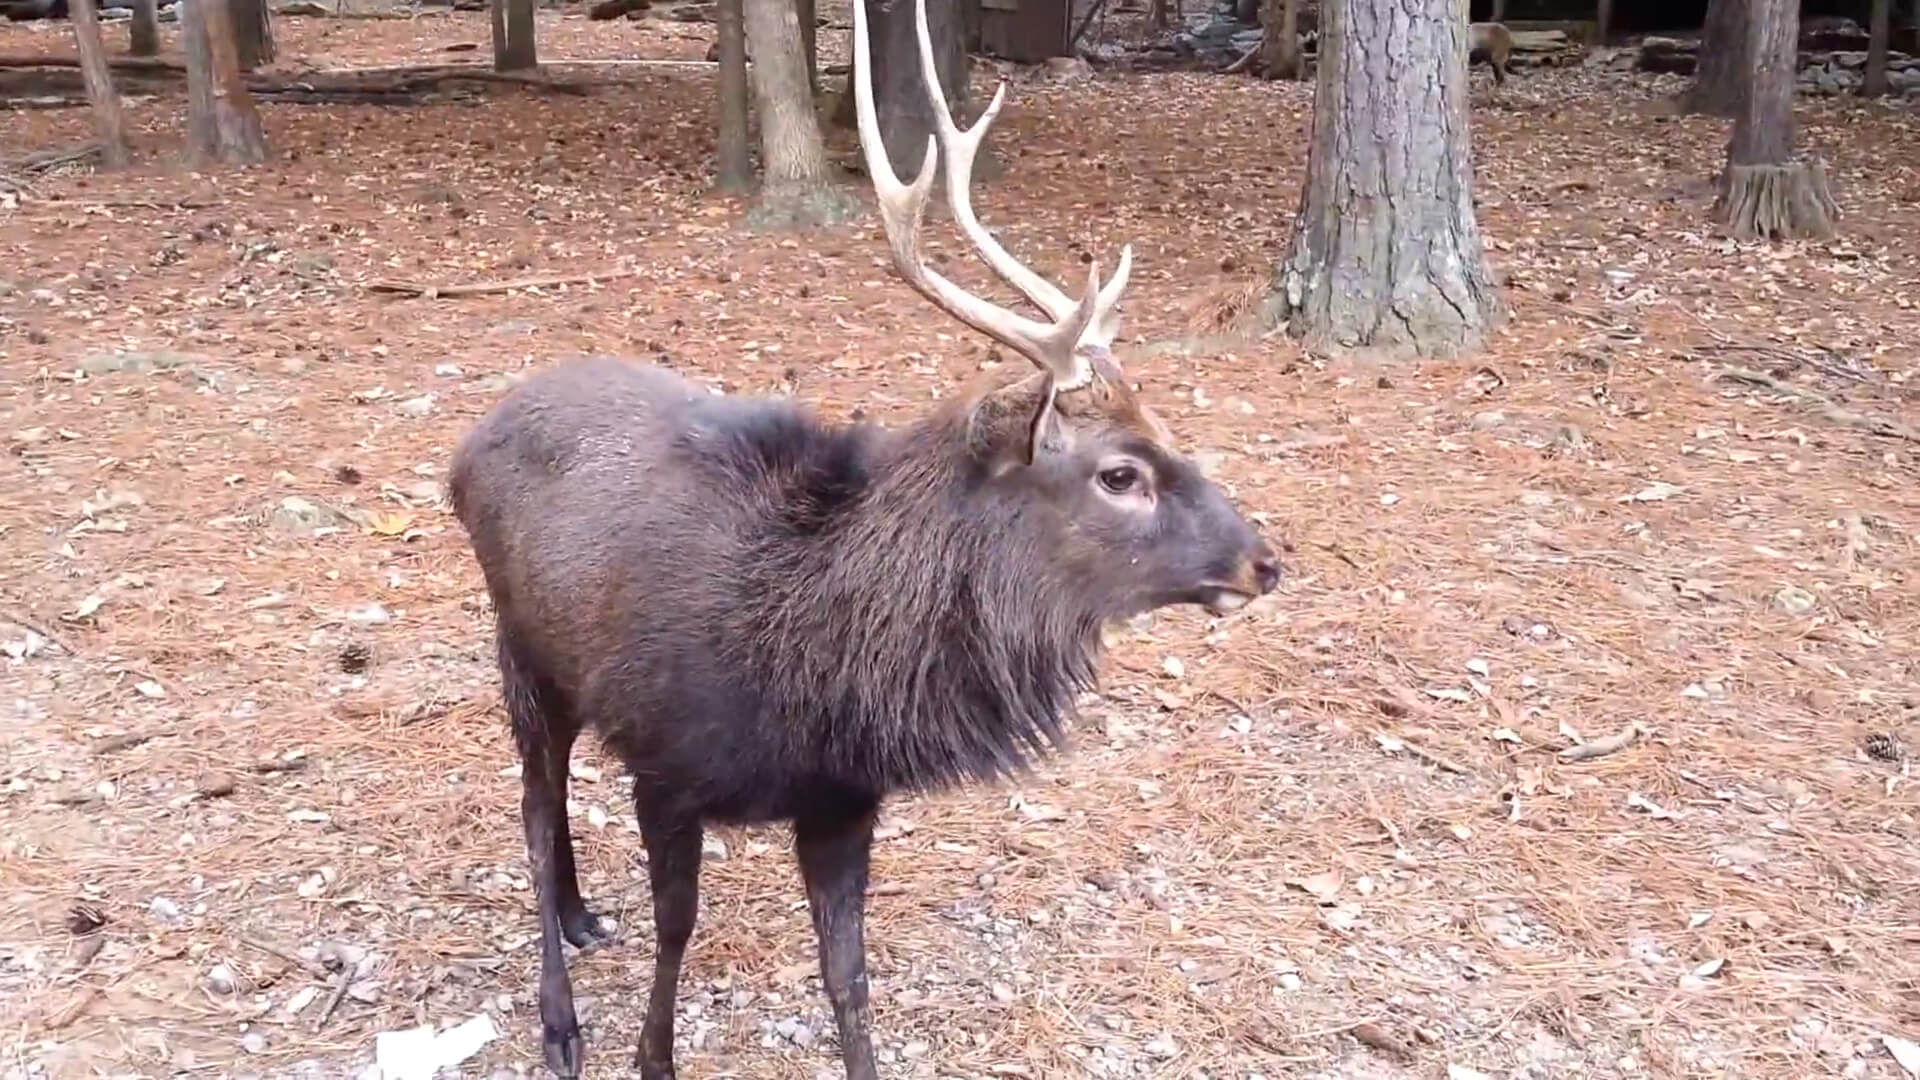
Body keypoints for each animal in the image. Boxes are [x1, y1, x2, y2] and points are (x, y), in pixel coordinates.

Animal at [447, 0, 1282, 1068]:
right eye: (1119, 474)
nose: (1264, 558)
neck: (815, 673)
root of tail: (466, 447)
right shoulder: (666, 764)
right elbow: (678, 926)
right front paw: (651, 1054)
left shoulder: (844, 798)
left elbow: (849, 974)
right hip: (518, 646)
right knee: (532, 806)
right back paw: (559, 1019)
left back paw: (585, 914)